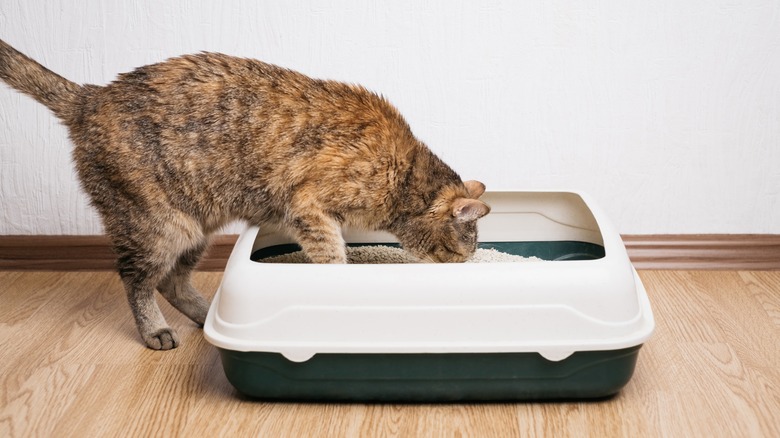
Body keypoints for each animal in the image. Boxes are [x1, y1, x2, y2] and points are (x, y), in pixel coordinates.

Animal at [0, 39, 488, 350]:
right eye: (459, 254)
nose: (462, 272)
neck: (402, 176)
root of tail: (91, 97)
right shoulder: (310, 208)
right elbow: (332, 256)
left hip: (196, 227)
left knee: (173, 282)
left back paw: (206, 314)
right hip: (159, 225)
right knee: (137, 281)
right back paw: (155, 330)